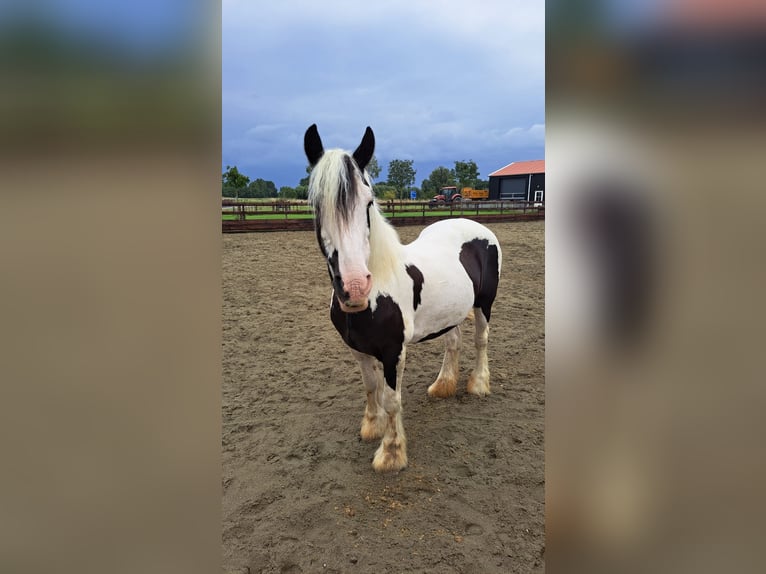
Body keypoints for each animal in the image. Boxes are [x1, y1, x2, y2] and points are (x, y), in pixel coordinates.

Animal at [304, 125, 508, 472]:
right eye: (317, 205)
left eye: (369, 202)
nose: (354, 288)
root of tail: (473, 224)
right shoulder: (357, 349)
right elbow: (370, 387)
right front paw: (371, 427)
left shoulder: (393, 352)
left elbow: (391, 399)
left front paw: (391, 453)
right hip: (450, 311)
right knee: (453, 342)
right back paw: (443, 386)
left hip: (485, 304)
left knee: (481, 340)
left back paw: (479, 384)